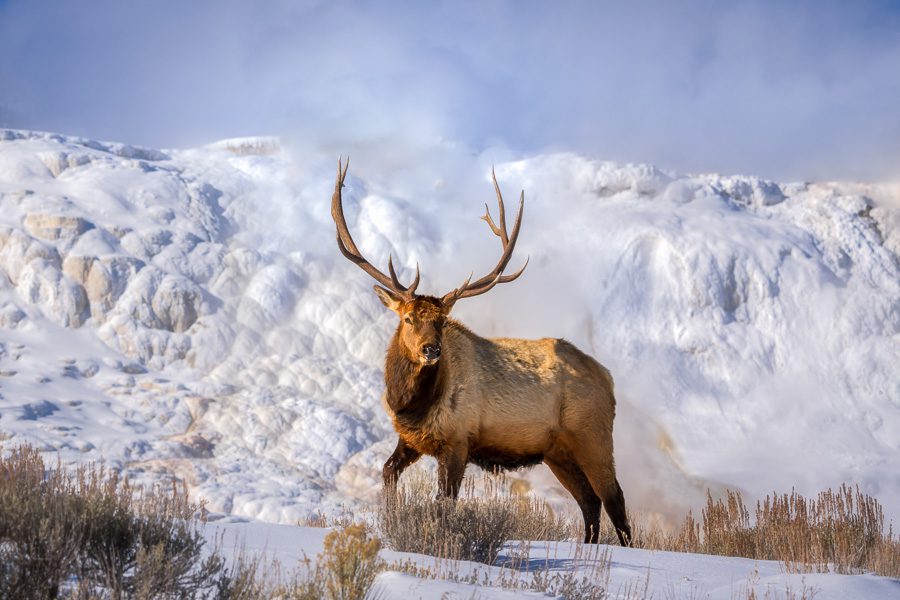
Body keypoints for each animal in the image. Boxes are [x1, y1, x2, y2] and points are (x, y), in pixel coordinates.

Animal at [330, 159, 632, 544]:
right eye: (409, 318)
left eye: (442, 320)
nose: (431, 349)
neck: (411, 402)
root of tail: (607, 378)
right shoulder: (411, 439)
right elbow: (387, 473)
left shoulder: (458, 441)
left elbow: (444, 502)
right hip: (557, 451)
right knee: (589, 502)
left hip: (592, 435)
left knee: (614, 500)